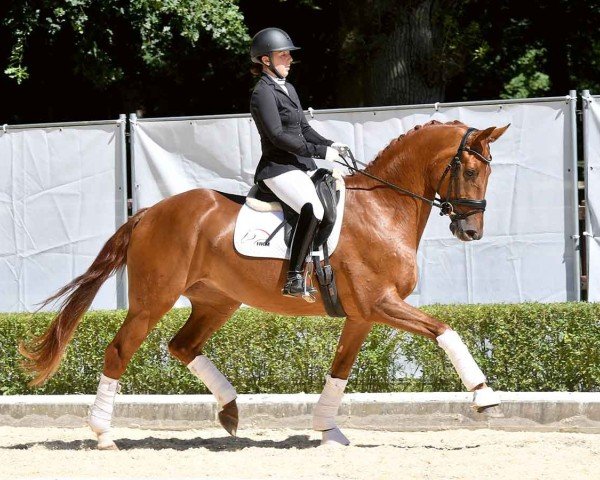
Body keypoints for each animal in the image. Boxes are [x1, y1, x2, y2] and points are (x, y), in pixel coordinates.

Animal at [24, 120, 510, 450]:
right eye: (469, 171)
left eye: (488, 174)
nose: (471, 232)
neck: (383, 209)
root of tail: (148, 213)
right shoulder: (380, 303)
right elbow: (445, 330)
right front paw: (485, 397)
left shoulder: (361, 314)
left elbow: (340, 369)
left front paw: (327, 429)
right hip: (152, 302)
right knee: (119, 351)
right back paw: (103, 433)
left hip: (217, 301)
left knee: (182, 346)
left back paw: (230, 411)